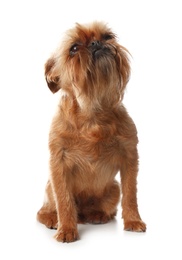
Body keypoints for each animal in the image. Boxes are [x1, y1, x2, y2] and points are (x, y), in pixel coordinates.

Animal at [36, 21, 146, 243]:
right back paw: (52, 219)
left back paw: (97, 215)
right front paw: (66, 229)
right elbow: (64, 200)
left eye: (108, 36)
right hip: (49, 187)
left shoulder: (130, 157)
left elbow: (131, 194)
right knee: (43, 210)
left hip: (113, 189)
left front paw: (133, 221)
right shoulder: (58, 165)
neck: (92, 111)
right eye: (74, 48)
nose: (96, 43)